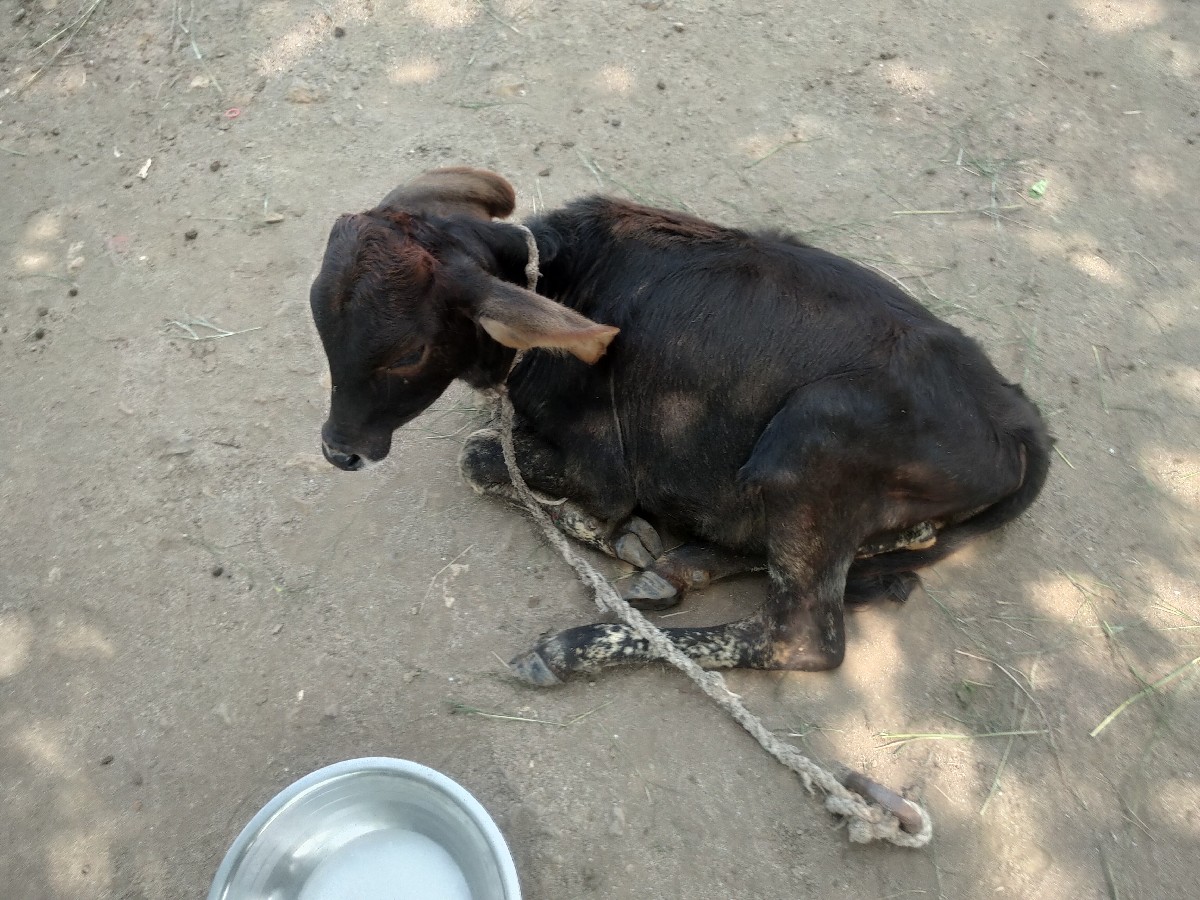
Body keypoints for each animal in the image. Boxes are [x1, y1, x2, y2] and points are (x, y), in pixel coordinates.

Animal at [310, 167, 1051, 686]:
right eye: (320, 317)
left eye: (407, 352)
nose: (339, 450)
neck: (565, 280)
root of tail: (1018, 417)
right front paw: (635, 543)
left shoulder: (603, 469)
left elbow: (481, 455)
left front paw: (617, 534)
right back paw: (679, 565)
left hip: (809, 446)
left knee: (801, 636)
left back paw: (575, 647)